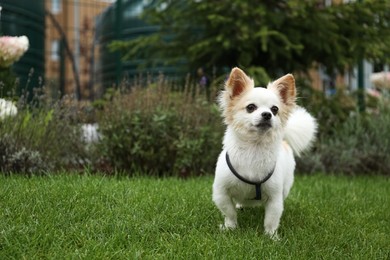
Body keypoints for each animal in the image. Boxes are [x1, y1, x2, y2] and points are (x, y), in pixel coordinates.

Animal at [213, 67, 316, 240]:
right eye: (251, 107)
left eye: (275, 110)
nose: (267, 114)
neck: (254, 148)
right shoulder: (221, 192)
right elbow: (229, 211)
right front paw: (230, 228)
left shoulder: (275, 197)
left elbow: (271, 219)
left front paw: (271, 237)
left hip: (285, 187)